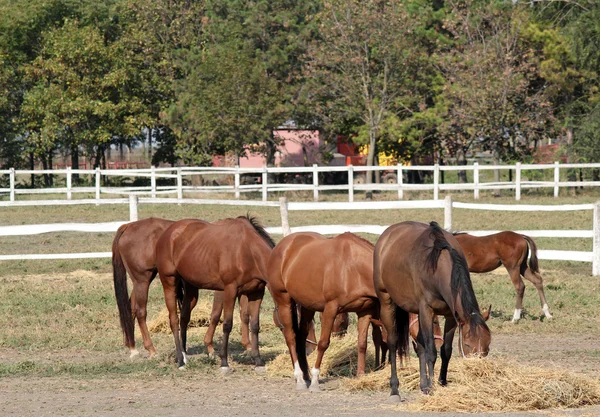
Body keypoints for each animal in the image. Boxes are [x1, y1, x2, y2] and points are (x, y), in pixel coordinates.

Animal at [113, 218, 251, 358]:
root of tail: (129, 226)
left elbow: (244, 314)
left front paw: (248, 345)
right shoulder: (223, 290)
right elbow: (216, 314)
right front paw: (209, 346)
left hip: (142, 281)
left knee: (130, 308)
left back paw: (132, 346)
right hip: (142, 281)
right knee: (140, 311)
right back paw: (151, 348)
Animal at [156, 216, 276, 368]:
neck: (247, 249)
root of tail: (169, 232)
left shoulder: (257, 292)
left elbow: (254, 325)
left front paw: (258, 360)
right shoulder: (229, 290)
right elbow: (226, 324)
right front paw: (224, 362)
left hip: (191, 290)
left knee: (184, 317)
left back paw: (184, 354)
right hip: (169, 283)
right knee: (174, 320)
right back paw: (180, 360)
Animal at [268, 231, 380, 390]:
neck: (353, 267)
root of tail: (281, 247)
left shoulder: (365, 311)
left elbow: (362, 343)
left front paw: (361, 376)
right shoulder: (330, 310)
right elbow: (323, 343)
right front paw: (315, 379)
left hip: (307, 306)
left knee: (301, 337)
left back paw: (305, 376)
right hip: (284, 301)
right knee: (290, 337)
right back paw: (300, 379)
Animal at [376, 221, 492, 400]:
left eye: (488, 344)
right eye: (467, 344)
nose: (478, 371)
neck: (437, 267)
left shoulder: (451, 316)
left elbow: (446, 350)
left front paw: (440, 382)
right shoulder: (427, 310)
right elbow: (432, 351)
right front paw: (432, 387)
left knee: (420, 344)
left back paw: (423, 385)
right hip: (387, 302)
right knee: (393, 342)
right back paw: (395, 389)